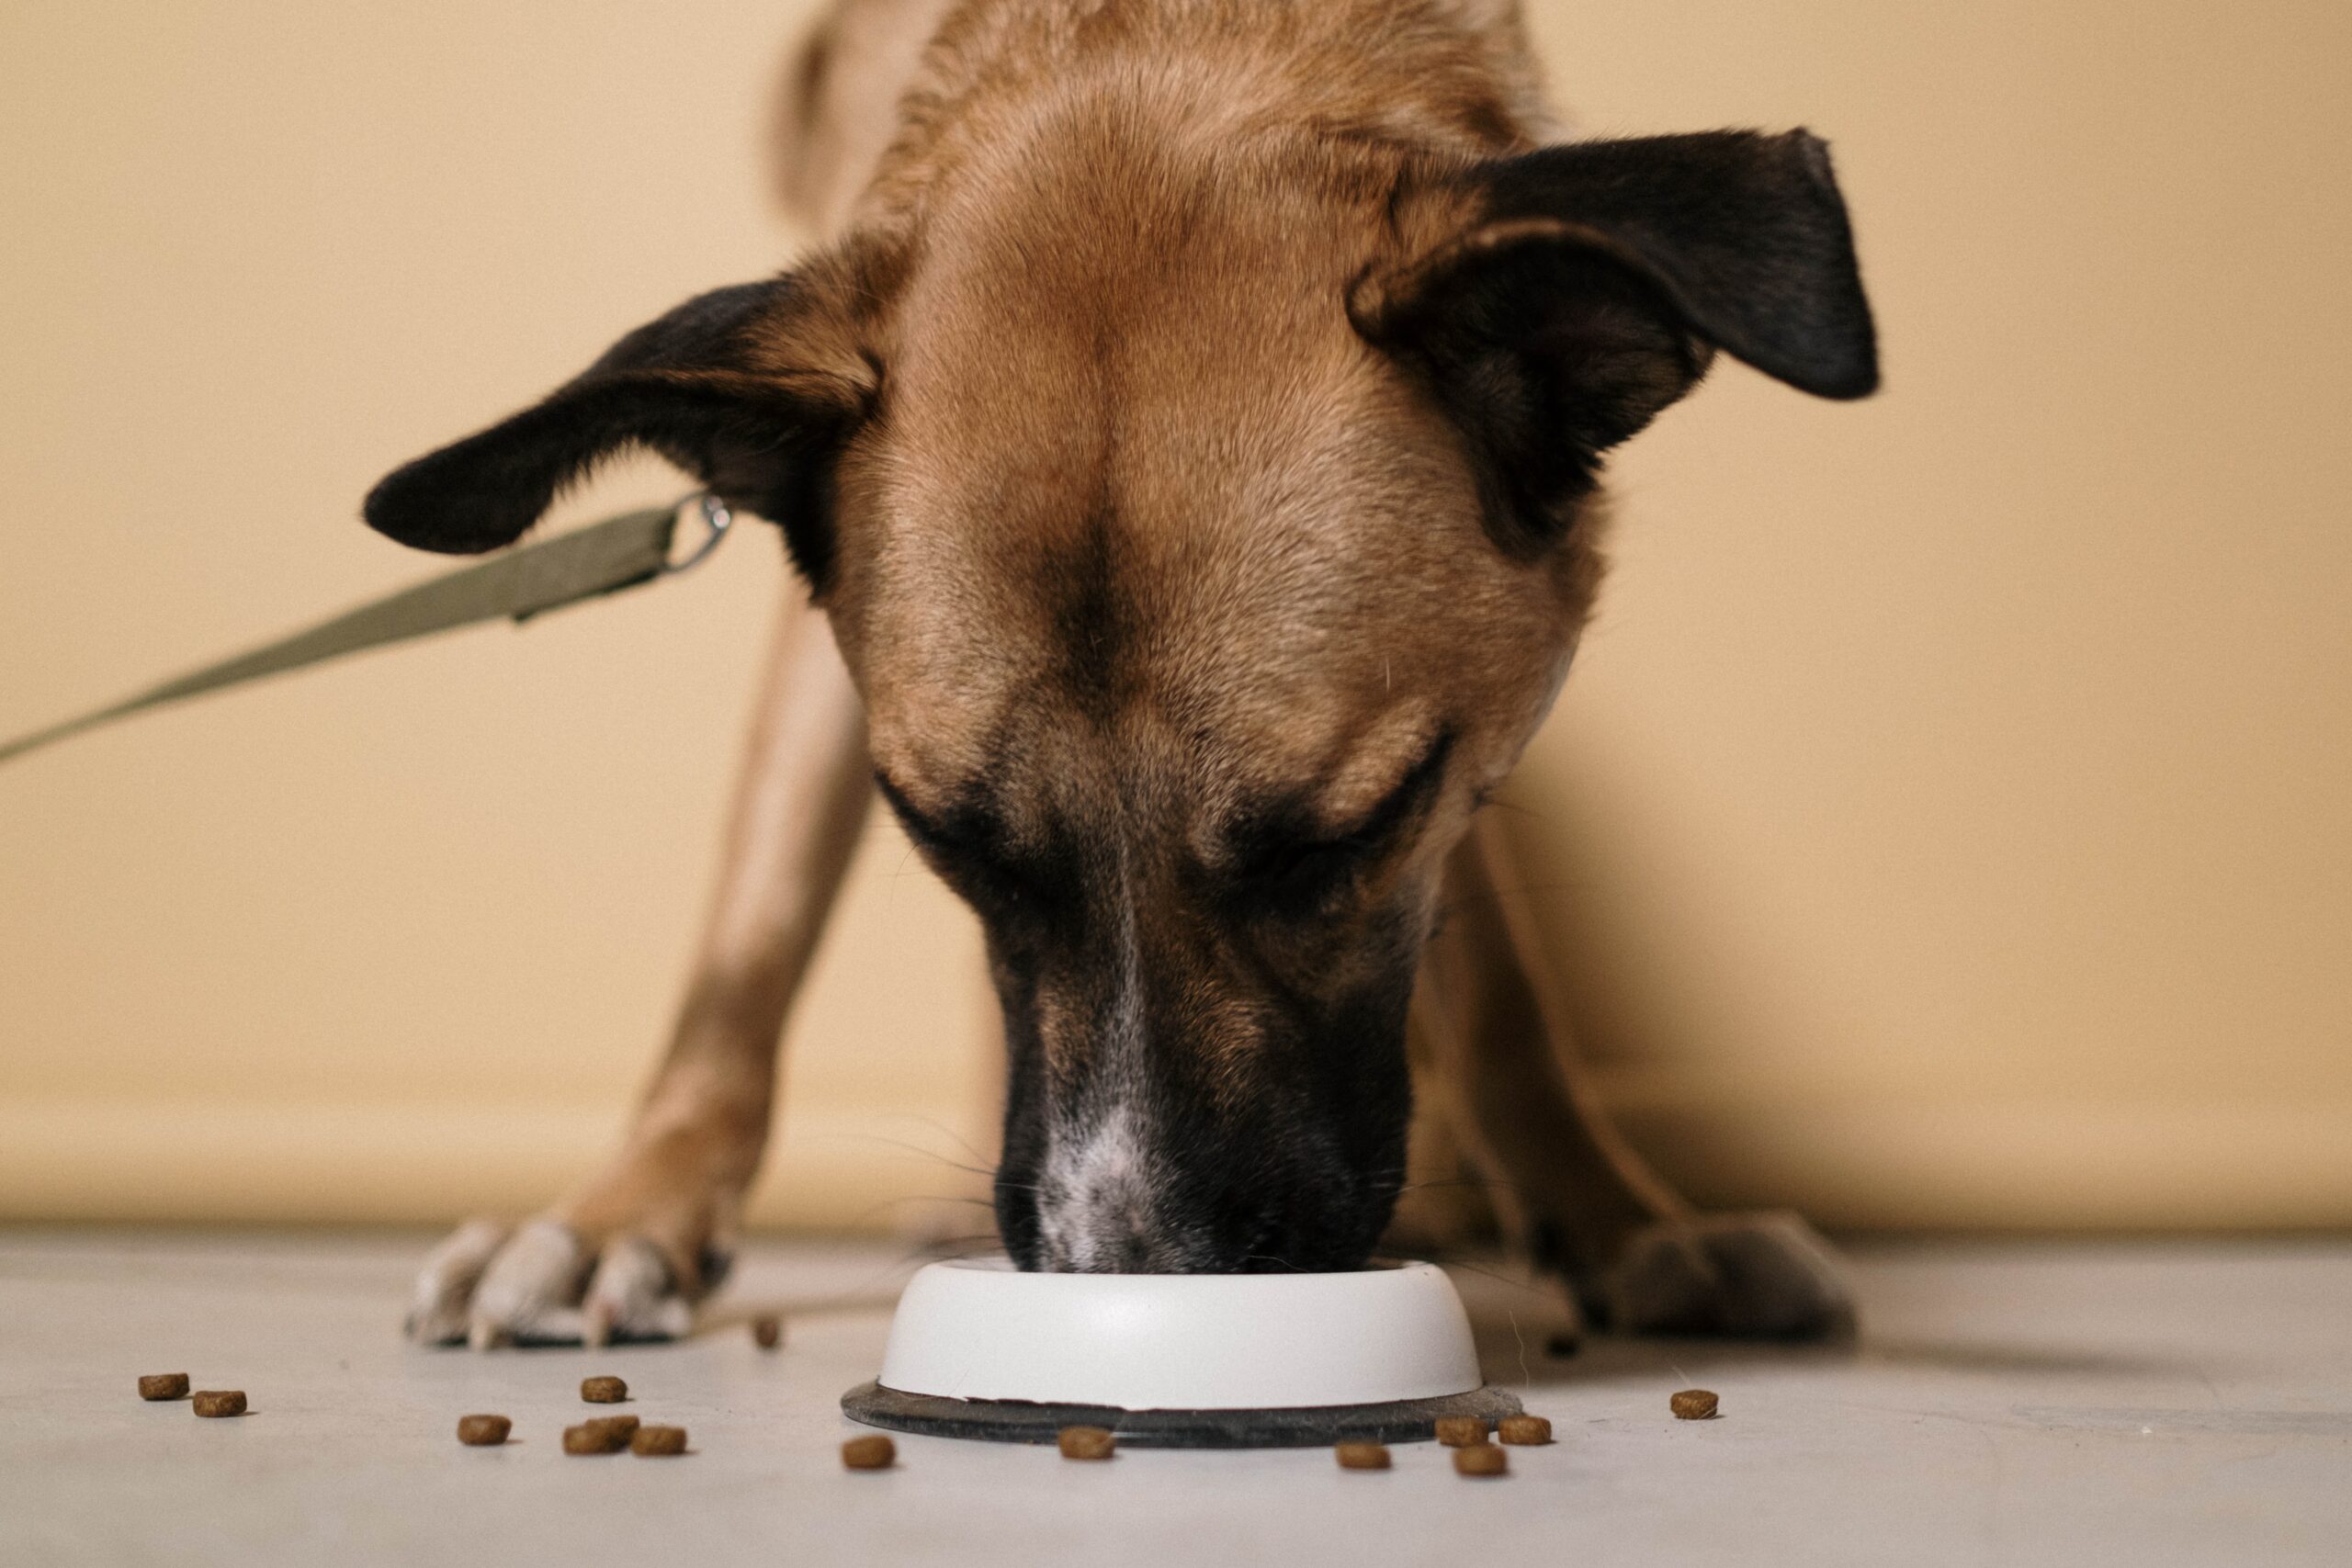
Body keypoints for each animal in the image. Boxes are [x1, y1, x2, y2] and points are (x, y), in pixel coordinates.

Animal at [371, 0, 1871, 1354]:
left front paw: (1621, 1219)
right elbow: (748, 940)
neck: (1157, 38)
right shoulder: (820, 641)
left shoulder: (1464, 739)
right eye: (948, 841)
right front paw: (628, 1207)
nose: (1131, 1271)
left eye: (1343, 838)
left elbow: (1502, 989)